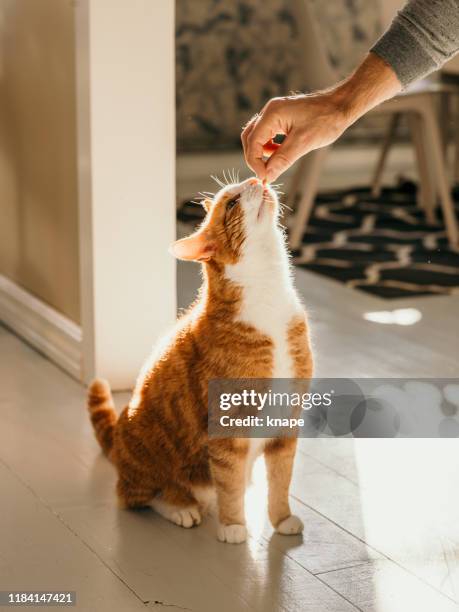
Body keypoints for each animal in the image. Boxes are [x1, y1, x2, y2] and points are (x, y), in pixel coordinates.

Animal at [87, 175, 312, 544]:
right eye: (232, 203)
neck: (269, 297)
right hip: (147, 459)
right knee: (138, 496)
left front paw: (281, 520)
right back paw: (181, 508)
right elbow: (229, 484)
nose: (255, 178)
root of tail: (118, 441)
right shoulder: (227, 430)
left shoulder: (286, 424)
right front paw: (233, 525)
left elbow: (280, 483)